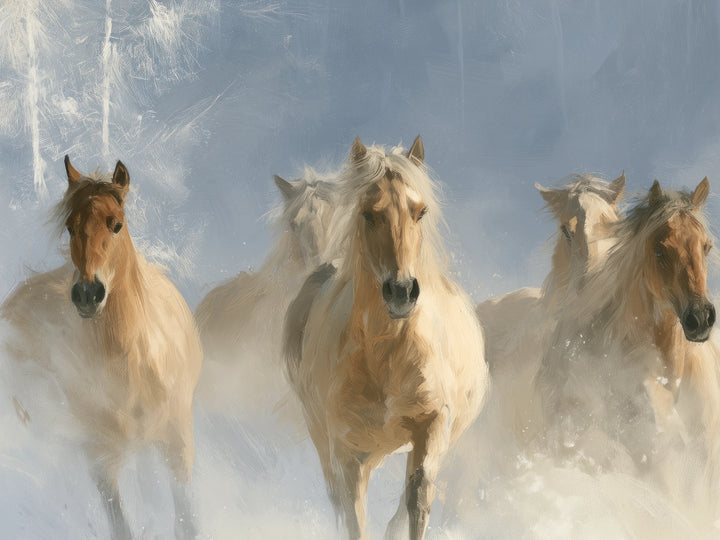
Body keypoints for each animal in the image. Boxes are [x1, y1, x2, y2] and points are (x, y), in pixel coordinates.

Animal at [0, 157, 203, 539]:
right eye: (69, 227)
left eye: (117, 225)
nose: (87, 294)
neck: (132, 364)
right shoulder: (100, 460)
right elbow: (121, 528)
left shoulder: (178, 443)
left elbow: (188, 523)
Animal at [283, 136, 488, 540]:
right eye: (368, 214)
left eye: (420, 212)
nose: (402, 292)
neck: (387, 354)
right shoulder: (347, 451)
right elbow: (354, 517)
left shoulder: (434, 426)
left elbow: (418, 498)